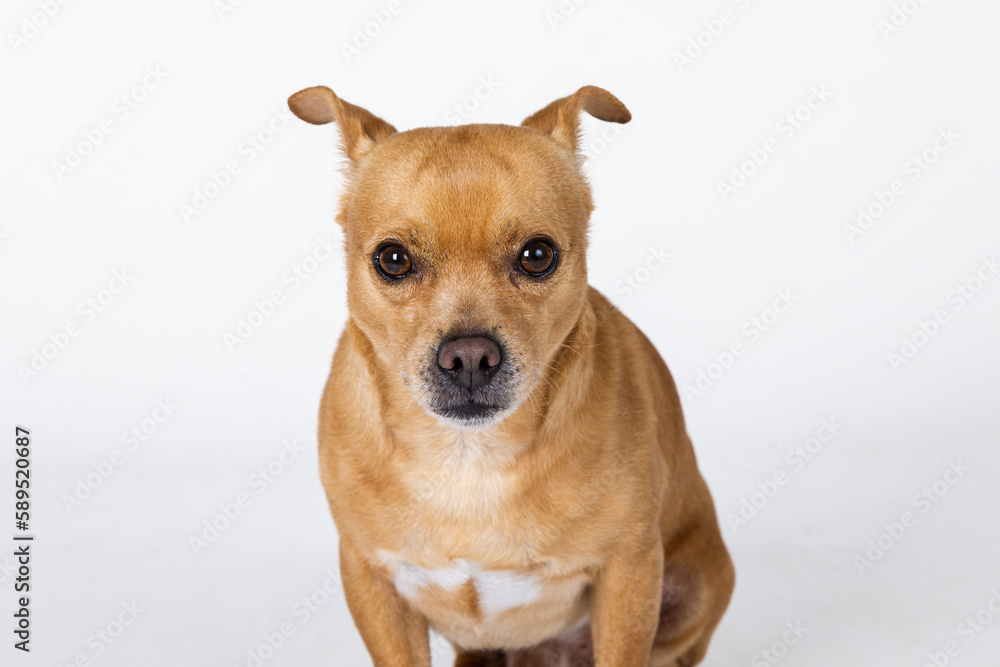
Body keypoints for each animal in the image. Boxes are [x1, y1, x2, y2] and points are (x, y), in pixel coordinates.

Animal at [290, 86, 736, 664]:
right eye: (392, 259)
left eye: (538, 254)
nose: (469, 357)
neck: (467, 457)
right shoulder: (372, 581)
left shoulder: (630, 575)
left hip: (692, 587)